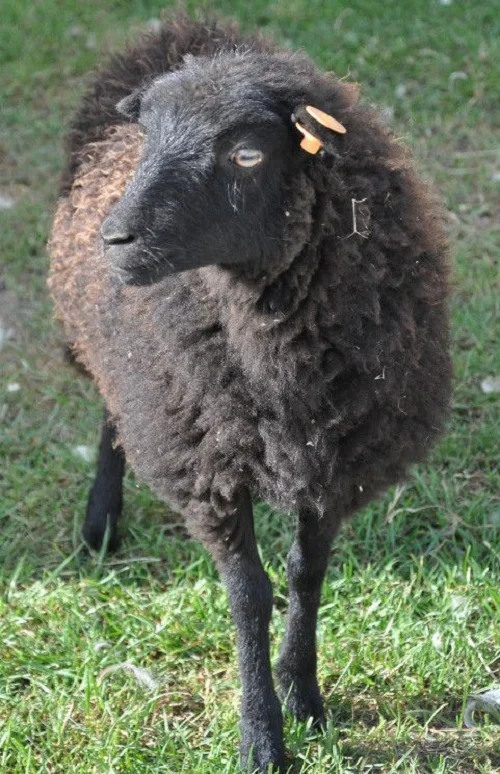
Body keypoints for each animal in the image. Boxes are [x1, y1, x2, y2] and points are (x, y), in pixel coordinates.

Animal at [48, 11, 452, 772]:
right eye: (148, 140)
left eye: (245, 154)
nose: (116, 238)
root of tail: (186, 26)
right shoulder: (210, 469)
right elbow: (249, 597)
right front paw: (262, 737)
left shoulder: (334, 458)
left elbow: (304, 575)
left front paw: (305, 701)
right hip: (126, 369)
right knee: (114, 416)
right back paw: (100, 524)